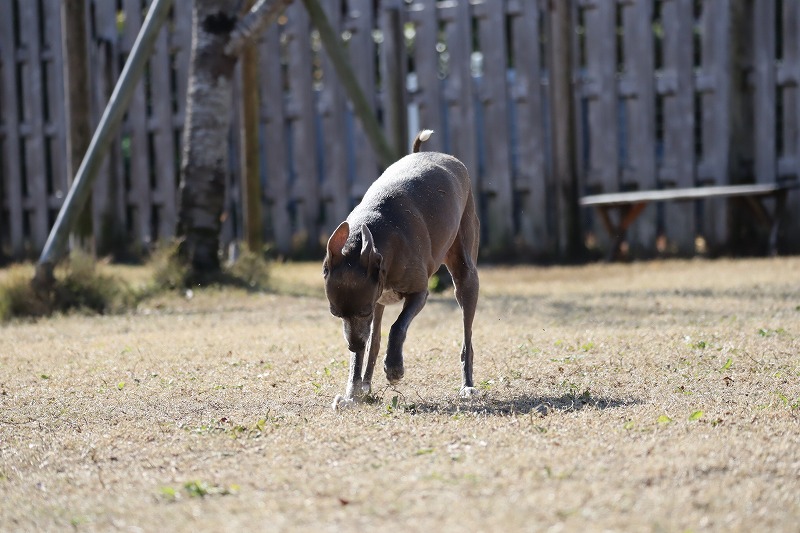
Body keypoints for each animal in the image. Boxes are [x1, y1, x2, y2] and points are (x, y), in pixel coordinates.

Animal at [322, 130, 480, 410]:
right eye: (335, 313)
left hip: (466, 274)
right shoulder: (372, 303)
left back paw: (467, 386)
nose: (353, 345)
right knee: (374, 343)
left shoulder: (417, 294)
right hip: (382, 303)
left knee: (467, 339)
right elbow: (364, 351)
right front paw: (352, 393)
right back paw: (365, 385)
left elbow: (398, 327)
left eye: (363, 311)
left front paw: (394, 369)